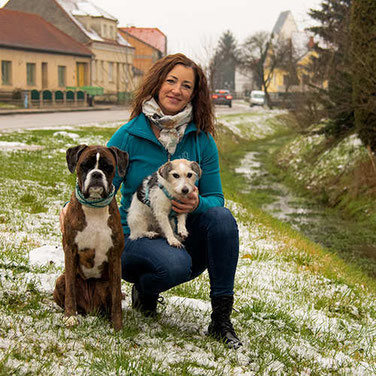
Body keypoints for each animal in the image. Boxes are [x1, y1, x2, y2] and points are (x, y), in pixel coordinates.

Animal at [52, 145, 129, 330]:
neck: (94, 207)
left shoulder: (115, 256)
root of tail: (90, 307)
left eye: (108, 167)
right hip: (60, 280)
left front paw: (117, 325)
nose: (96, 174)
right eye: (85, 166)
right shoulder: (70, 250)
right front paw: (70, 317)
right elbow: (70, 290)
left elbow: (116, 297)